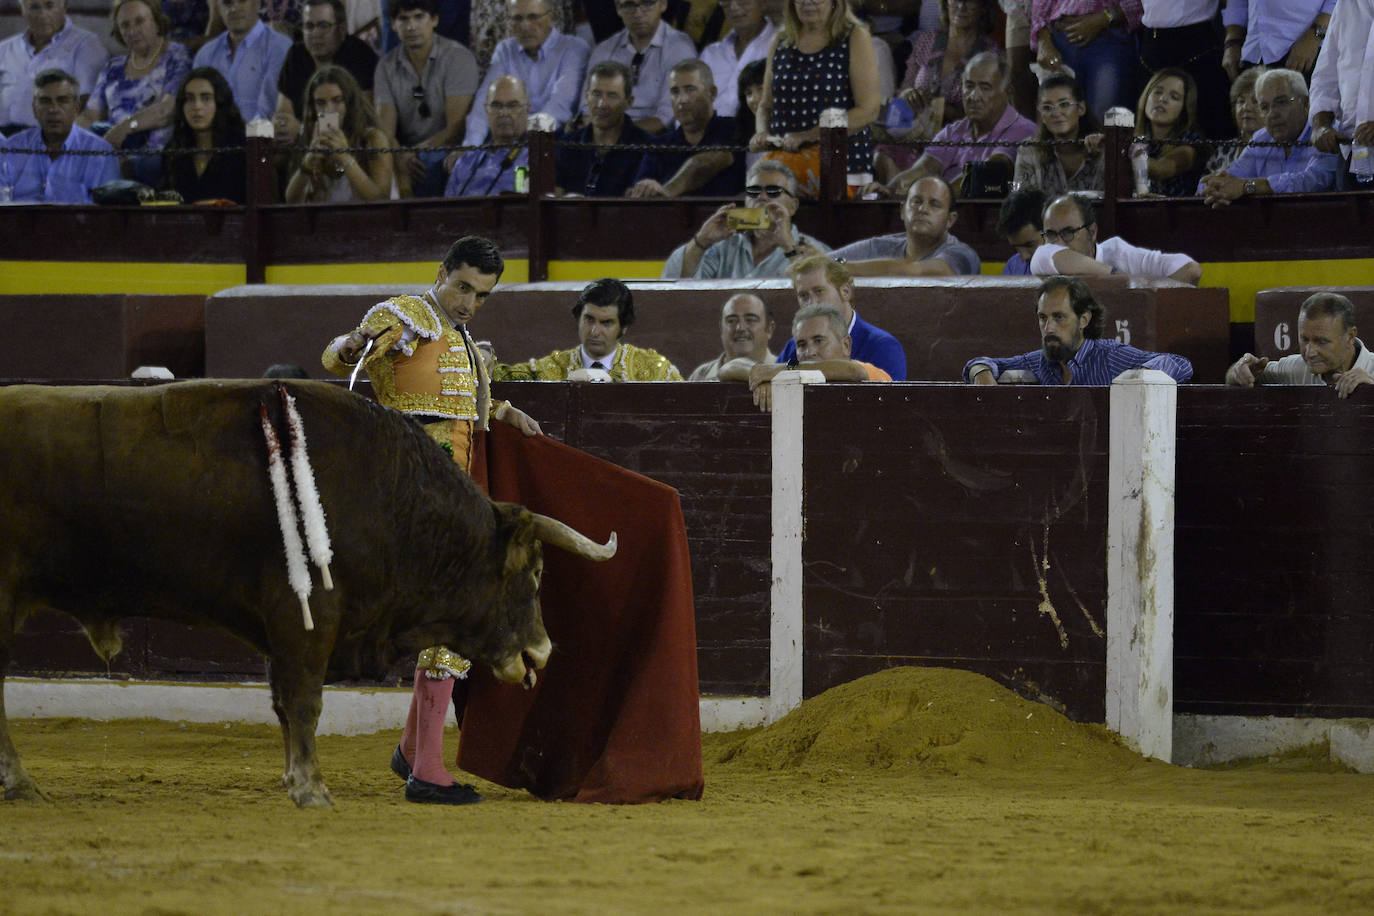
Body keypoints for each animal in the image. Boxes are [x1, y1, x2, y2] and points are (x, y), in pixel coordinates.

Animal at [0, 384, 612, 807]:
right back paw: (21, 784)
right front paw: (311, 788)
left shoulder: (287, 629)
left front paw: (295, 778)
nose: (542, 652)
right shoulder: (306, 617)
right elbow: (304, 701)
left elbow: (282, 704)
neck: (397, 501)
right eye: (535, 573)